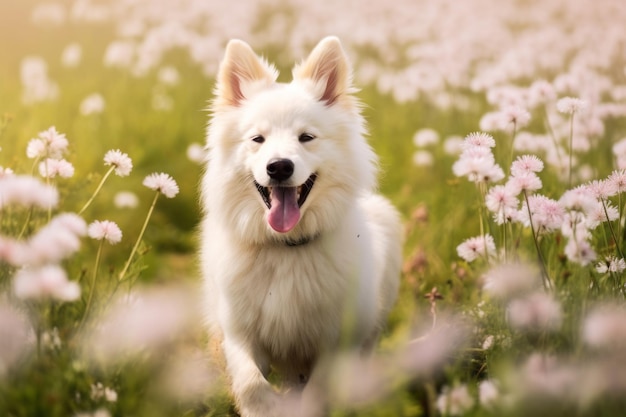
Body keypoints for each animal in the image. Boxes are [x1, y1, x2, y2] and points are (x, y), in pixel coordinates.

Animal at [202, 37, 402, 414]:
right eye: (258, 139)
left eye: (306, 137)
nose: (279, 167)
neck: (287, 247)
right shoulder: (239, 332)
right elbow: (251, 383)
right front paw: (263, 408)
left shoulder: (334, 340)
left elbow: (318, 390)